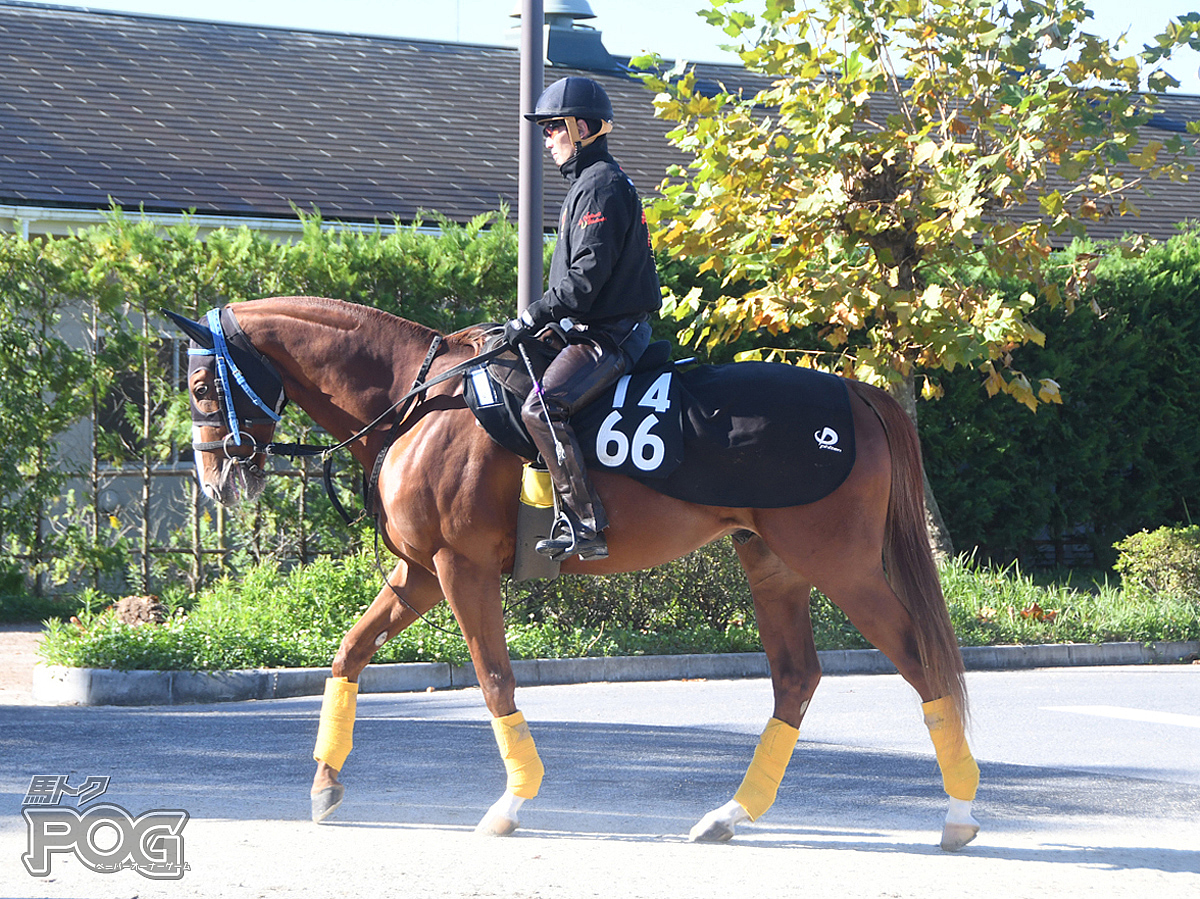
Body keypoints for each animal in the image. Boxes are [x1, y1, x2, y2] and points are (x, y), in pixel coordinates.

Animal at [169, 294, 979, 849]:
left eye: (204, 388)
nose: (214, 481)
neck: (420, 399)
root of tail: (856, 393)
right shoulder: (418, 575)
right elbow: (348, 653)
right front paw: (325, 784)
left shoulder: (460, 569)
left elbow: (494, 678)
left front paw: (512, 802)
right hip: (773, 565)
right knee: (797, 678)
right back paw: (730, 813)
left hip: (843, 567)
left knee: (921, 661)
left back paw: (960, 811)